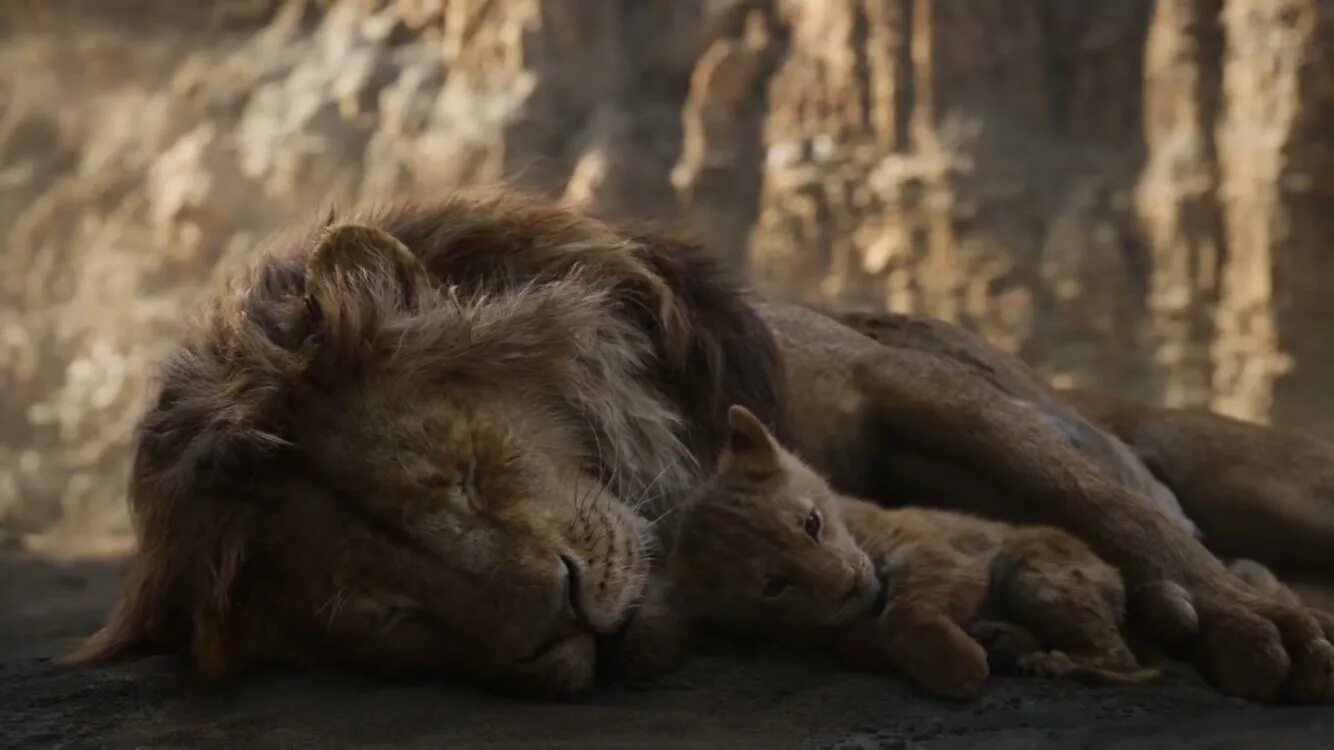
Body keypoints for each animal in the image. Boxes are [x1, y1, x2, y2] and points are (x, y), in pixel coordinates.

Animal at [667, 404, 1157, 700]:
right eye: (773, 586)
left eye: (811, 524)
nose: (848, 585)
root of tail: (1113, 575)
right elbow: (857, 640)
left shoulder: (940, 554)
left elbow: (903, 613)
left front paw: (956, 668)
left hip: (1036, 576)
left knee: (1126, 663)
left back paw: (1050, 664)